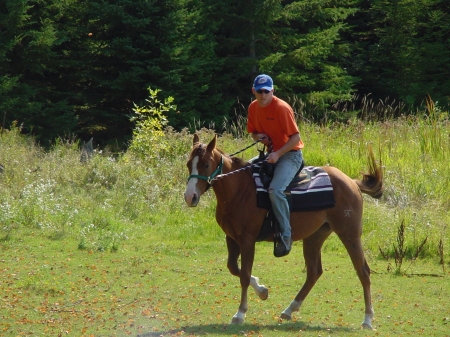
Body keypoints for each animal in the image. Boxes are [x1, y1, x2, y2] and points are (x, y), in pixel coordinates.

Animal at [183, 134, 384, 328]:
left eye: (206, 164)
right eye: (188, 164)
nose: (189, 197)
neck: (240, 190)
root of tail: (351, 182)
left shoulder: (247, 240)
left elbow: (245, 275)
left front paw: (240, 314)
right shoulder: (231, 238)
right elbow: (233, 268)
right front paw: (262, 291)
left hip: (349, 234)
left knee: (363, 272)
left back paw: (367, 319)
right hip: (315, 237)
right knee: (314, 272)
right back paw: (289, 310)